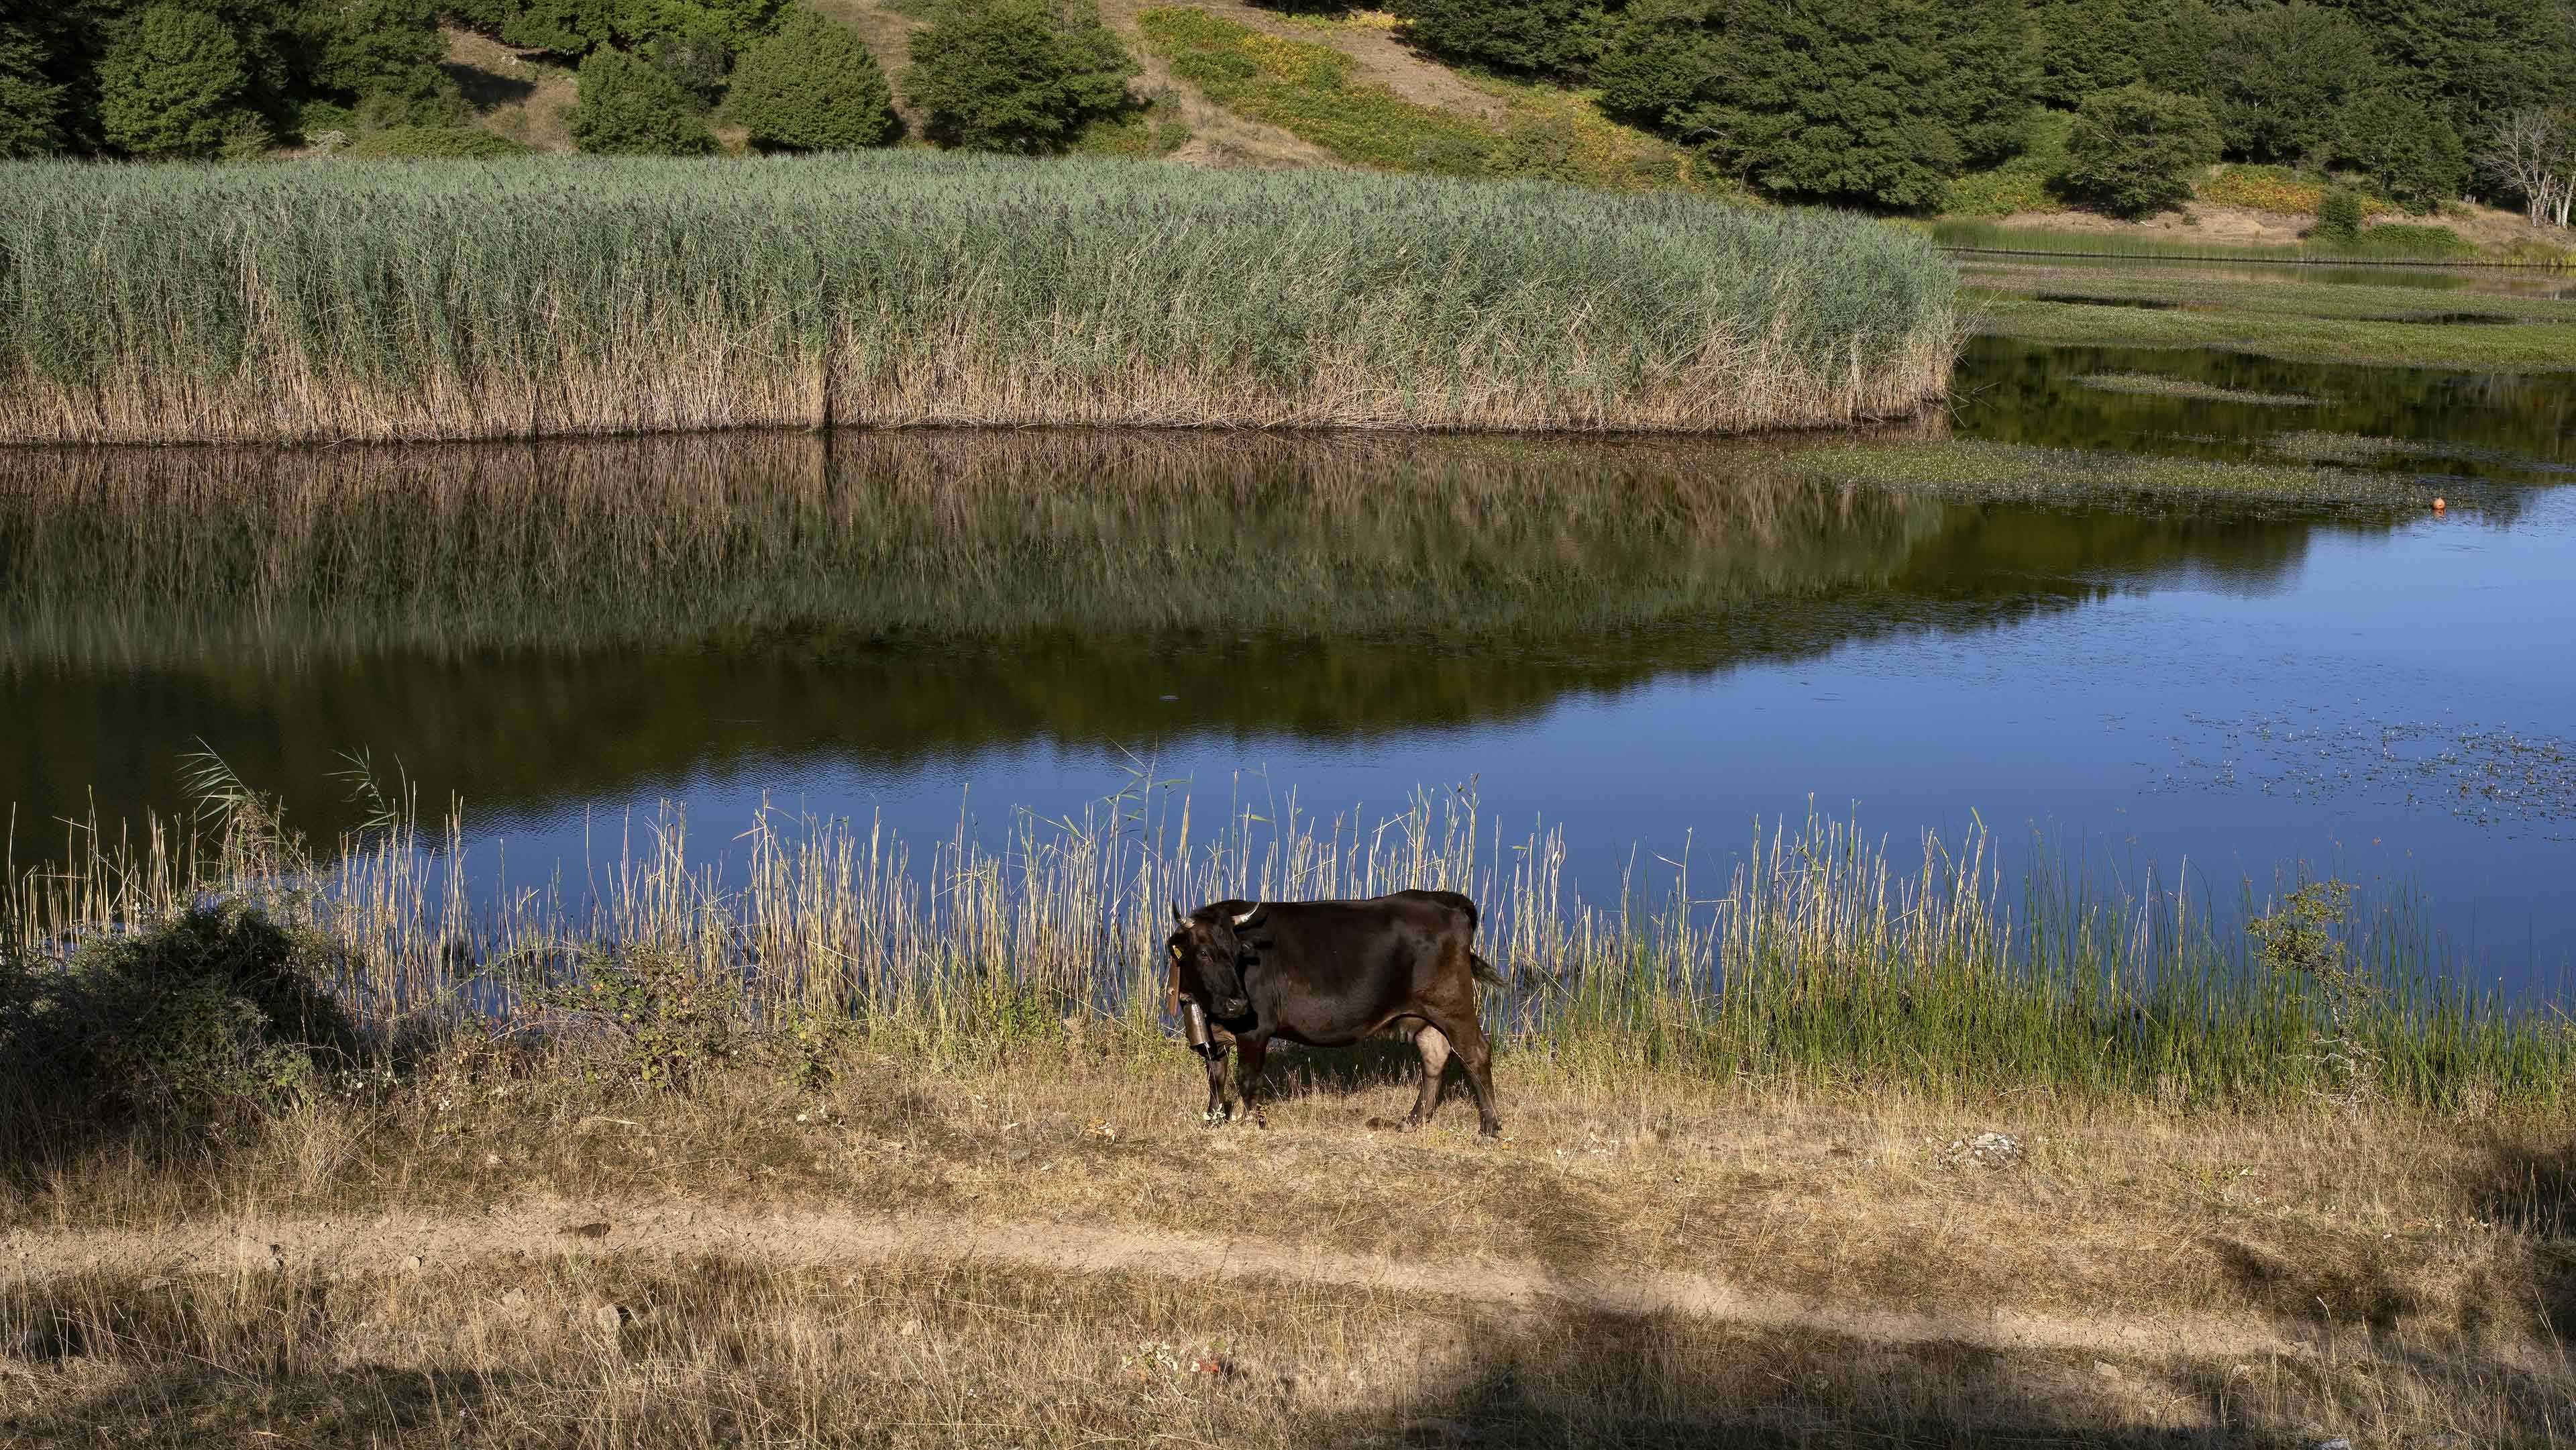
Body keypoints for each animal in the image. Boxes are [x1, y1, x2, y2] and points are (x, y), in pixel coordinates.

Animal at [1159, 891, 1504, 1138]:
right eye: (1204, 953)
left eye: (1238, 954)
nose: (1237, 1005)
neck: (1210, 1008)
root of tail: (1446, 900)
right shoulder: (1214, 1034)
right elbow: (1215, 1078)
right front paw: (1213, 1121)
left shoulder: (1255, 1031)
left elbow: (1247, 1079)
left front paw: (1248, 1124)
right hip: (1428, 1014)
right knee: (1434, 1054)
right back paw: (1413, 1120)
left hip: (1452, 1004)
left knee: (1475, 1053)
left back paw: (1489, 1128)